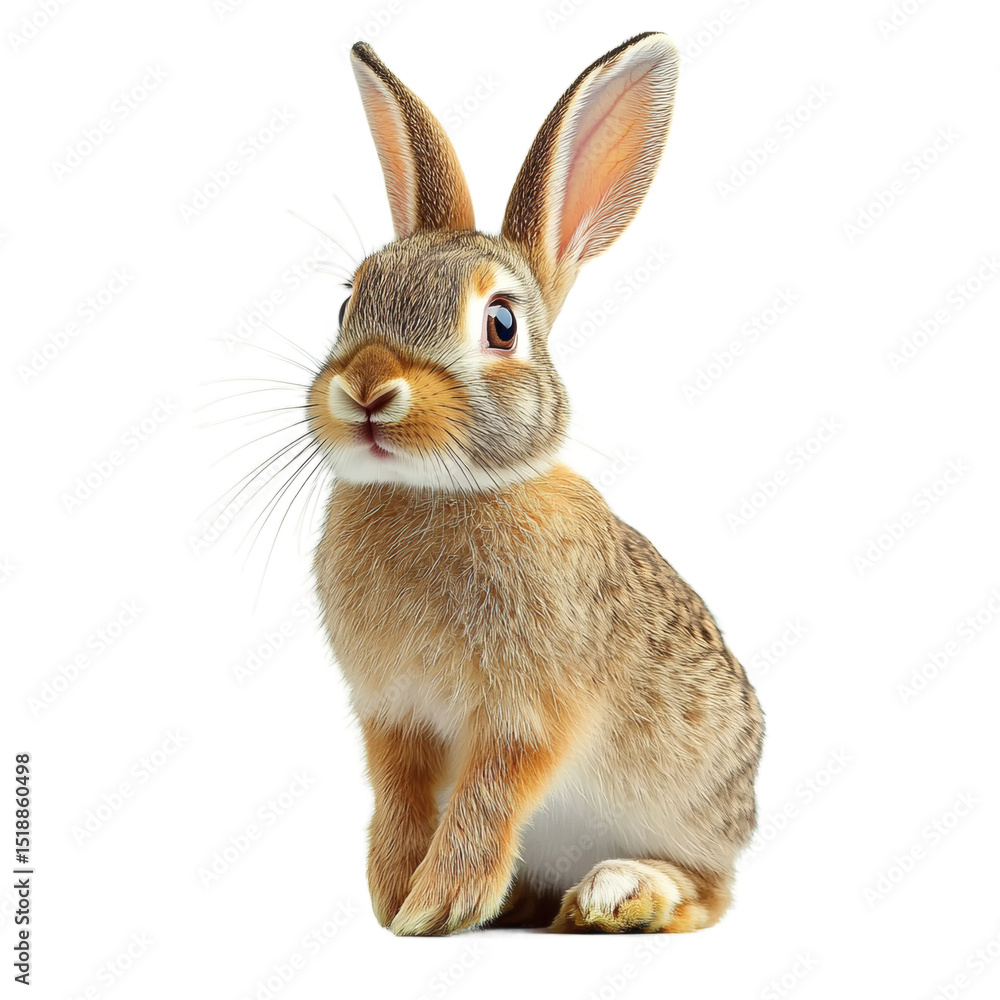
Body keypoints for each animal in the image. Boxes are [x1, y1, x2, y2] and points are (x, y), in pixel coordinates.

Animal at [307, 31, 764, 936]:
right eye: (347, 306)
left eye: (502, 324)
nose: (367, 389)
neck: (439, 492)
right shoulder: (393, 715)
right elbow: (401, 795)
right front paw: (394, 889)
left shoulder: (530, 711)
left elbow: (490, 792)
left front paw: (437, 903)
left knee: (710, 892)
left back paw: (620, 894)